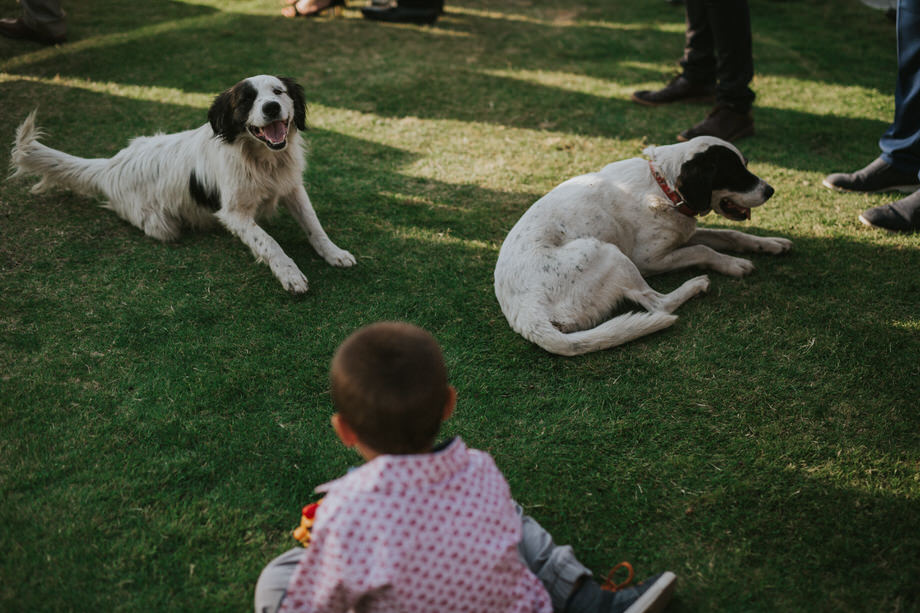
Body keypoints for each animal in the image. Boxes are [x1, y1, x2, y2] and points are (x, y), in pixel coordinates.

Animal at [10, 74, 356, 292]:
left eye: (279, 92)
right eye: (246, 100)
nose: (271, 108)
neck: (263, 160)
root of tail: (110, 165)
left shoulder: (292, 188)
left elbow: (314, 225)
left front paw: (334, 253)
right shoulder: (234, 213)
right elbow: (268, 242)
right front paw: (289, 274)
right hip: (162, 225)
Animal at [496, 134, 792, 354]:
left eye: (746, 165)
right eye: (734, 173)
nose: (770, 191)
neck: (664, 186)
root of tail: (527, 315)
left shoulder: (685, 232)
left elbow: (730, 235)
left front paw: (770, 244)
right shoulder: (650, 259)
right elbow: (704, 249)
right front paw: (733, 265)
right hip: (609, 253)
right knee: (657, 304)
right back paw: (695, 285)